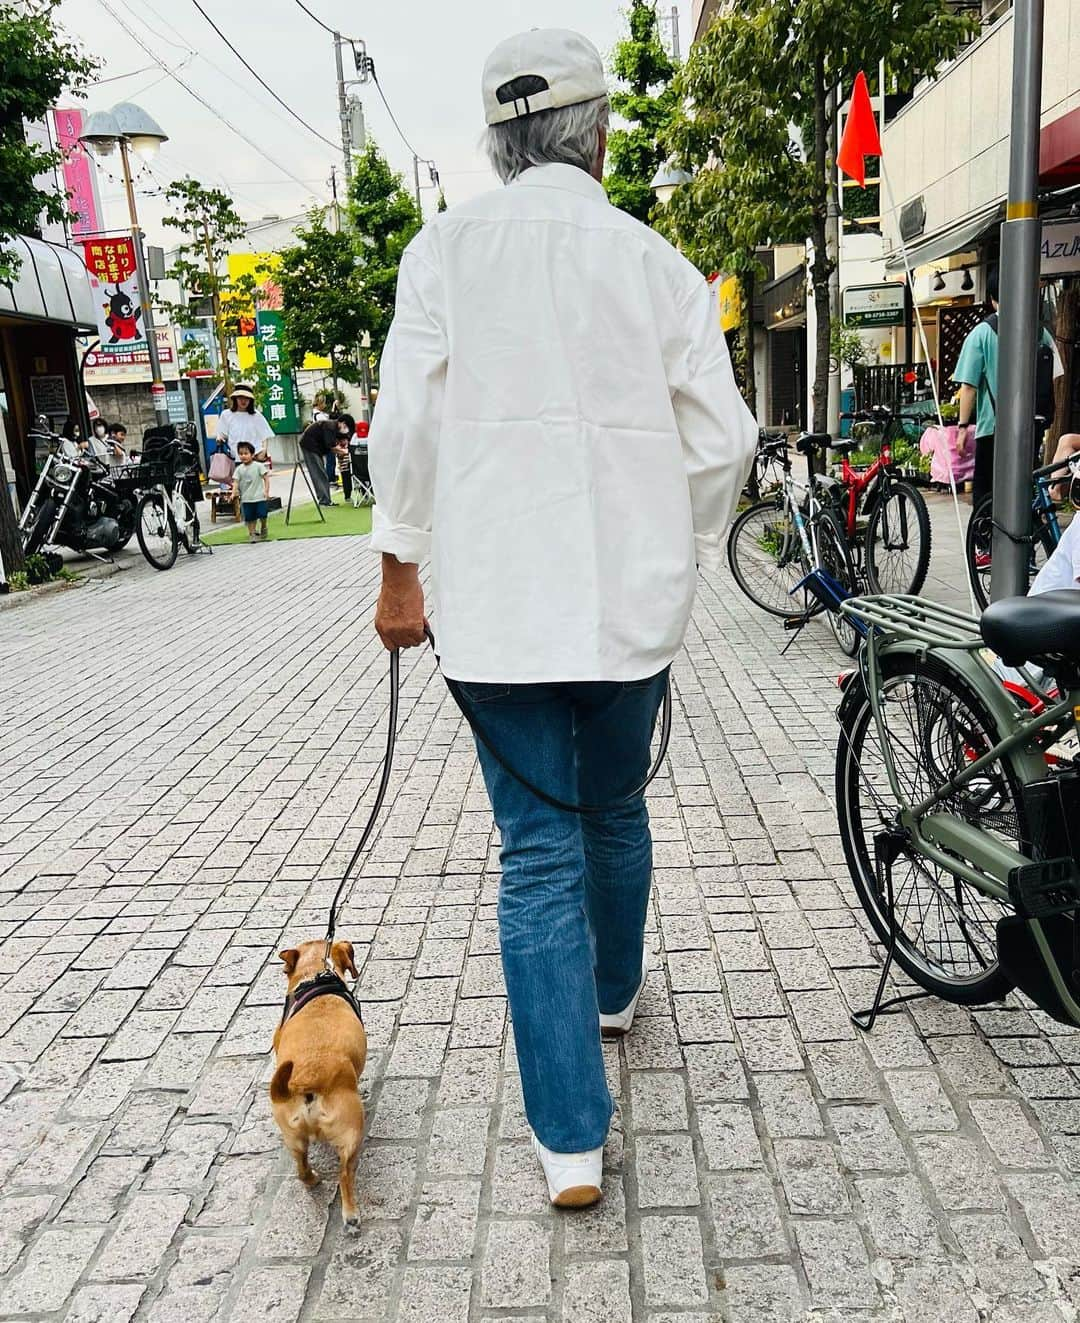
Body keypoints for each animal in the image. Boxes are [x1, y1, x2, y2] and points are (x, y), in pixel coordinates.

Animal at [270, 936, 367, 1222]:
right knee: (345, 1174)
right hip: (352, 1131)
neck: (314, 973)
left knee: (302, 1169)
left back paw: (313, 1179)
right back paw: (351, 1214)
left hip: (293, 1138)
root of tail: (306, 1083)